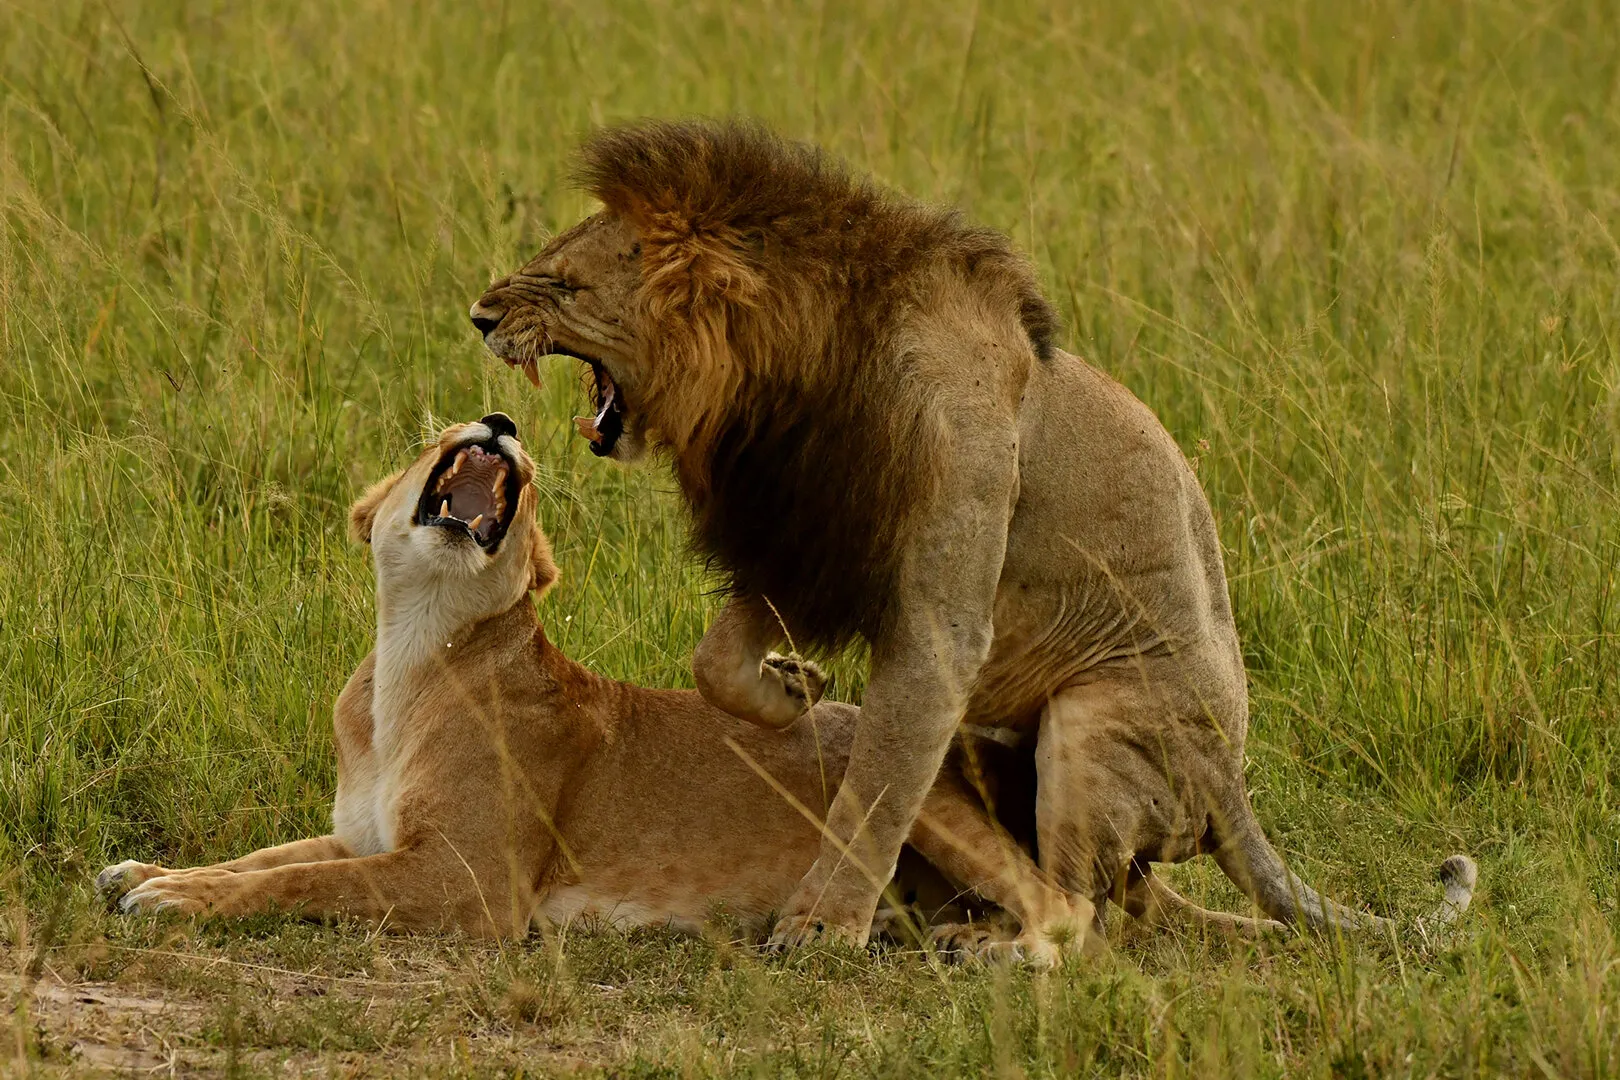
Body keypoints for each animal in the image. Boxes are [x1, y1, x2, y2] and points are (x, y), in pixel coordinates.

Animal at [95, 413, 1107, 962]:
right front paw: (146, 875)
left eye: (520, 458)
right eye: (444, 433)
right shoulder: (371, 836)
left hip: (905, 782)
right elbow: (270, 858)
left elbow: (301, 883)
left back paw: (995, 957)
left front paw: (175, 904)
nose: (501, 422)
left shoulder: (467, 885)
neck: (413, 649)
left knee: (1070, 909)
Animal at [467, 119, 1477, 952]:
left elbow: (874, 788)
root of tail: (1231, 788)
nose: (479, 316)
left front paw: (819, 927)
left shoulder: (937, 605)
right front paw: (796, 686)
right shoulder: (808, 533)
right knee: (1117, 896)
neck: (784, 379)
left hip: (1092, 723)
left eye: (561, 281)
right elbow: (716, 662)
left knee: (1088, 912)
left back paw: (996, 947)